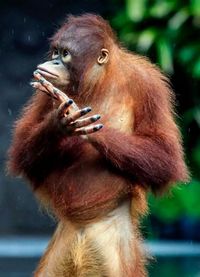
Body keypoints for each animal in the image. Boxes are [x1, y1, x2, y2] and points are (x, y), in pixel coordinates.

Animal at [7, 13, 189, 276]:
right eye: (55, 52)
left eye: (65, 54)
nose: (53, 62)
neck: (100, 80)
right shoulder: (45, 91)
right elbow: (22, 151)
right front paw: (58, 124)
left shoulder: (150, 86)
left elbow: (166, 155)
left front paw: (91, 130)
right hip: (58, 254)